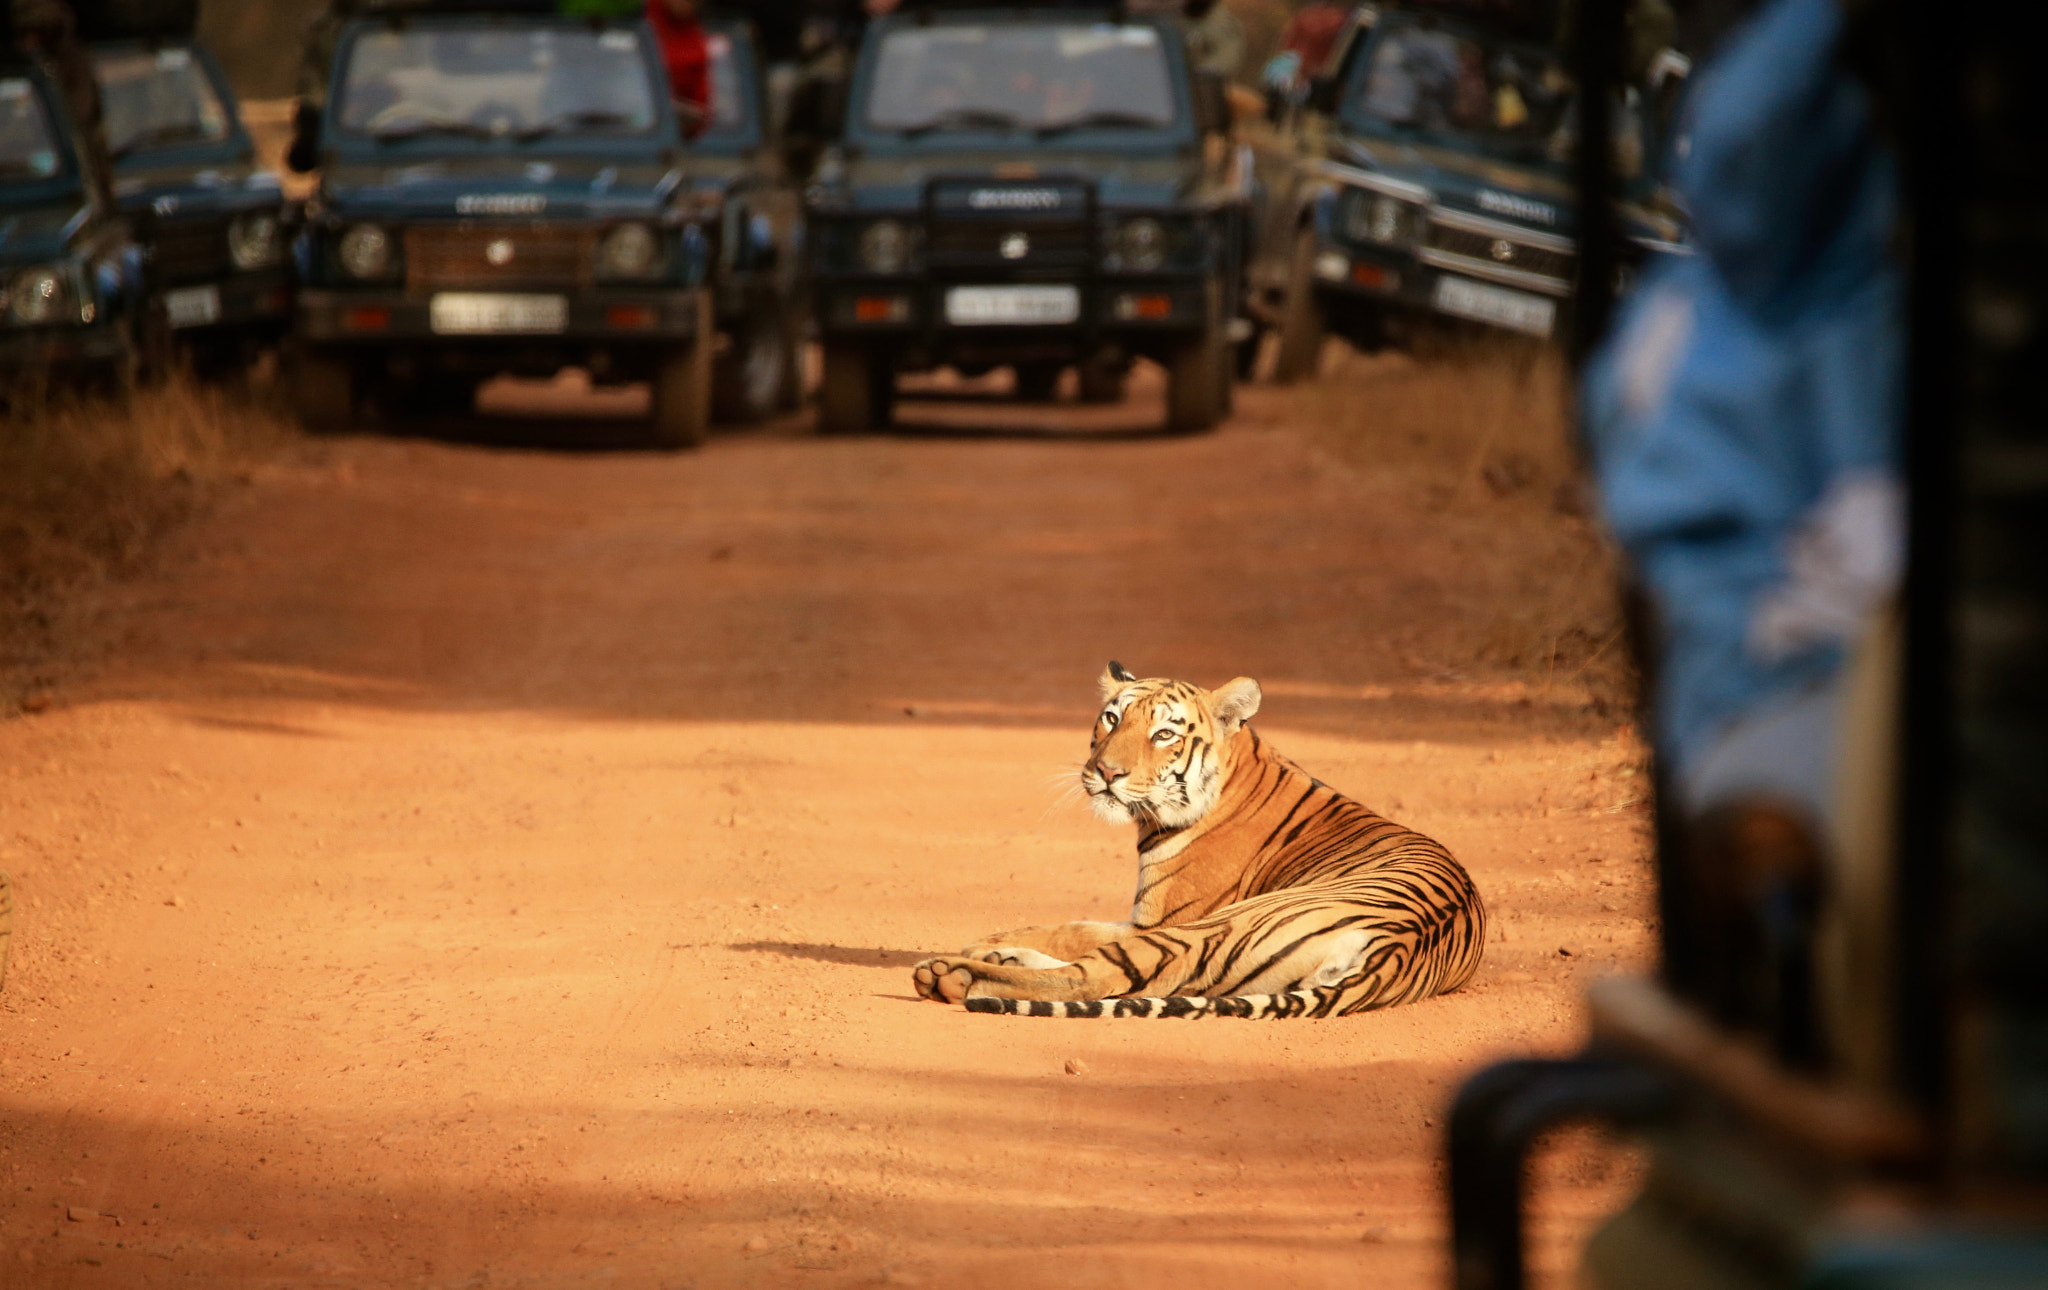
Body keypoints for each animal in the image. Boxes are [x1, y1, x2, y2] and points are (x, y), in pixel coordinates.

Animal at [917, 667, 1490, 1019]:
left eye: (1164, 735)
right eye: (1111, 718)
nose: (1106, 772)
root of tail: (1398, 947)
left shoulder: (1164, 919)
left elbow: (1080, 935)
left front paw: (980, 948)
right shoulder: (1144, 917)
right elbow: (1074, 926)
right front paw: (996, 940)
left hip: (1208, 929)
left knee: (1092, 978)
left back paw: (952, 976)